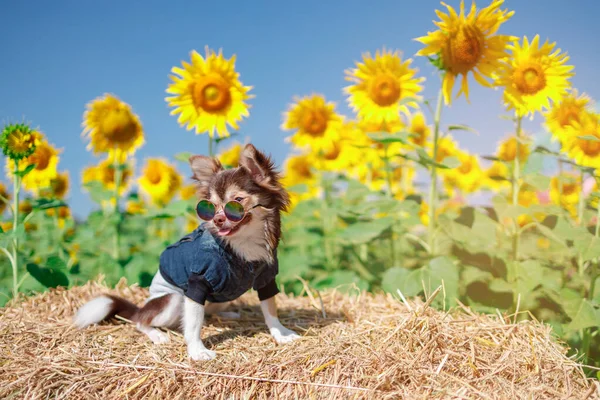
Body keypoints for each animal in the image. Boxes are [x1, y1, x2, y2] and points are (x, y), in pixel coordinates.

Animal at [74, 143, 300, 360]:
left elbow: (270, 309)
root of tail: (144, 306)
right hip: (172, 300)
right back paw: (156, 333)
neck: (242, 243)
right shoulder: (198, 281)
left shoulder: (266, 277)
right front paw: (197, 351)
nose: (217, 219)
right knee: (141, 320)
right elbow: (193, 325)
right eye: (211, 206)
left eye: (236, 201)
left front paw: (280, 333)